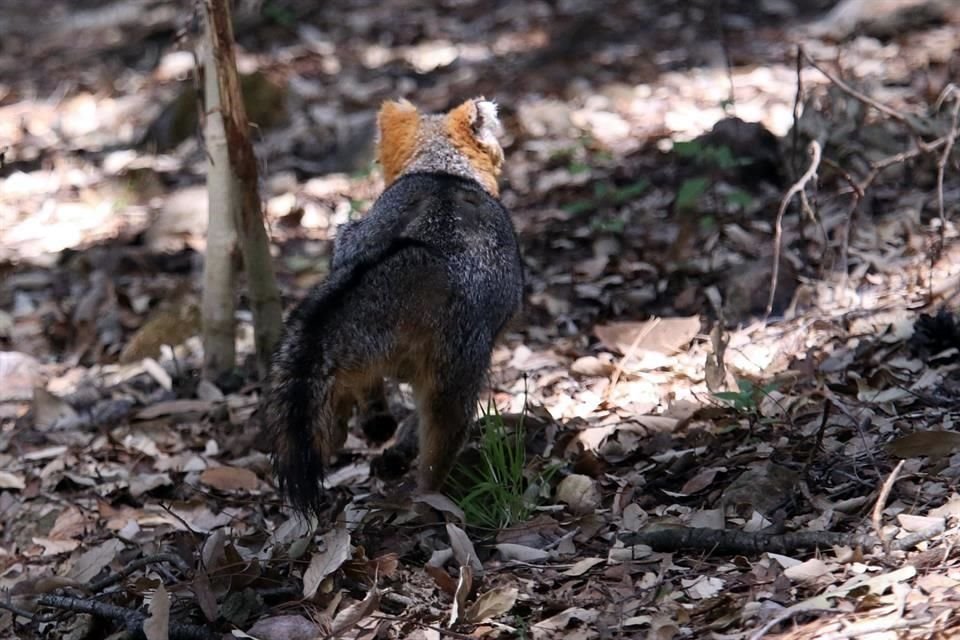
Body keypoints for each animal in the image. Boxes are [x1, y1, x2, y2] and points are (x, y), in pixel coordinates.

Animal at [262, 96, 524, 516]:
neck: (442, 172)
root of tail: (429, 252)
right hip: (458, 383)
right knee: (434, 460)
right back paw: (426, 503)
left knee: (344, 395)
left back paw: (369, 426)